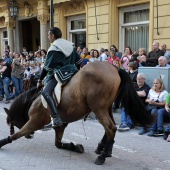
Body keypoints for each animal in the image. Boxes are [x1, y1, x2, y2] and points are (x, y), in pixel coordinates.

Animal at [0, 62, 153, 165]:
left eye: (13, 122)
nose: (30, 136)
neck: (34, 98)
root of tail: (114, 68)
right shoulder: (61, 126)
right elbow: (58, 143)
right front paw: (75, 146)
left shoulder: (34, 122)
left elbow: (16, 135)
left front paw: (2, 142)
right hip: (106, 107)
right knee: (111, 127)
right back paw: (102, 148)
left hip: (99, 108)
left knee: (110, 128)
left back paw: (103, 156)